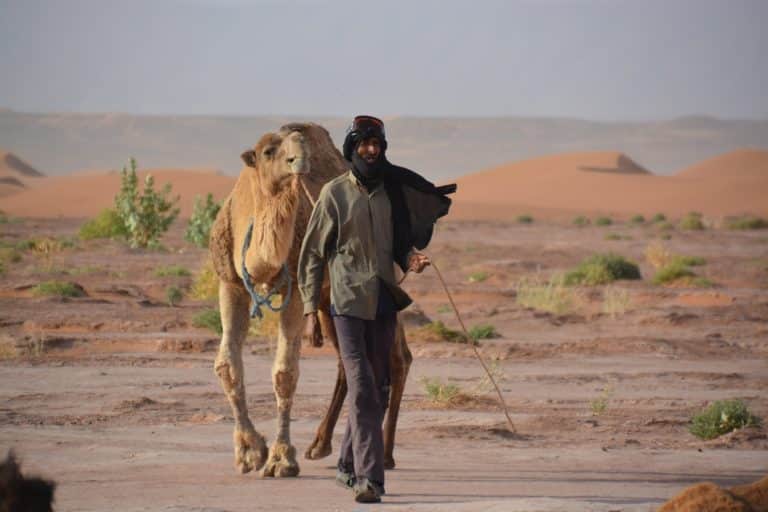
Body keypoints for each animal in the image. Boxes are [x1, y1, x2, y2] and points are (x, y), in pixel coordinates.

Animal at [210, 122, 414, 478]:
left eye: (300, 142)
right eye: (268, 151)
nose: (299, 159)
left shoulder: (294, 287)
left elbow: (285, 373)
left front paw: (280, 458)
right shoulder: (230, 282)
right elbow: (228, 366)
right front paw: (249, 452)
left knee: (398, 357)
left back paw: (385, 455)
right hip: (329, 302)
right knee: (349, 362)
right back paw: (320, 445)